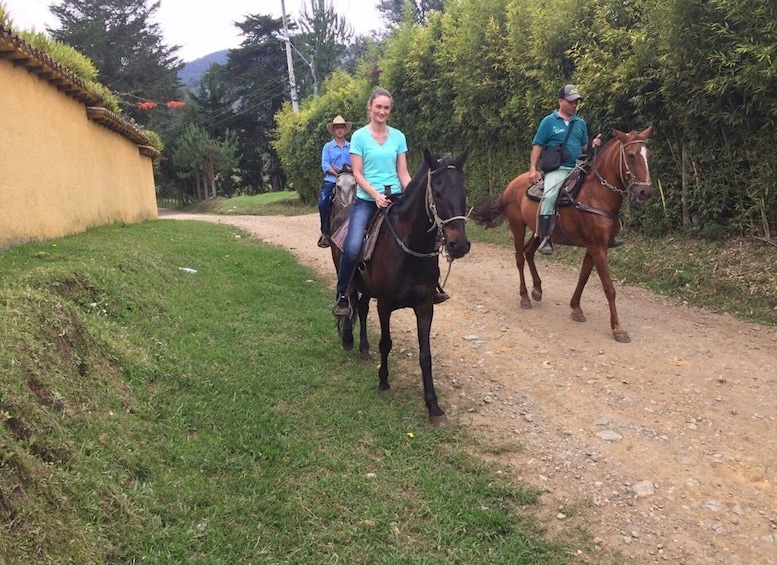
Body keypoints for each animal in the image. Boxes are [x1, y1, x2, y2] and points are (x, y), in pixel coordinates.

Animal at [328, 150, 466, 424]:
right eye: (437, 192)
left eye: (465, 191)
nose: (459, 245)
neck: (408, 248)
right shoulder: (385, 304)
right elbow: (386, 343)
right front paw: (383, 382)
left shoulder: (425, 306)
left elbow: (425, 355)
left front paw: (434, 406)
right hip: (347, 274)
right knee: (348, 301)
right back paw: (348, 339)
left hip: (367, 288)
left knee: (361, 308)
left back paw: (363, 350)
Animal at [472, 127, 648, 342]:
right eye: (631, 155)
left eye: (648, 155)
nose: (645, 192)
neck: (597, 195)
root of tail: (512, 184)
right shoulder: (597, 247)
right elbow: (609, 288)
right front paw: (618, 329)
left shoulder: (595, 246)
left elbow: (583, 277)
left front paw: (576, 308)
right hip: (517, 225)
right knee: (520, 258)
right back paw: (525, 297)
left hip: (539, 230)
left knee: (529, 252)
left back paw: (537, 289)